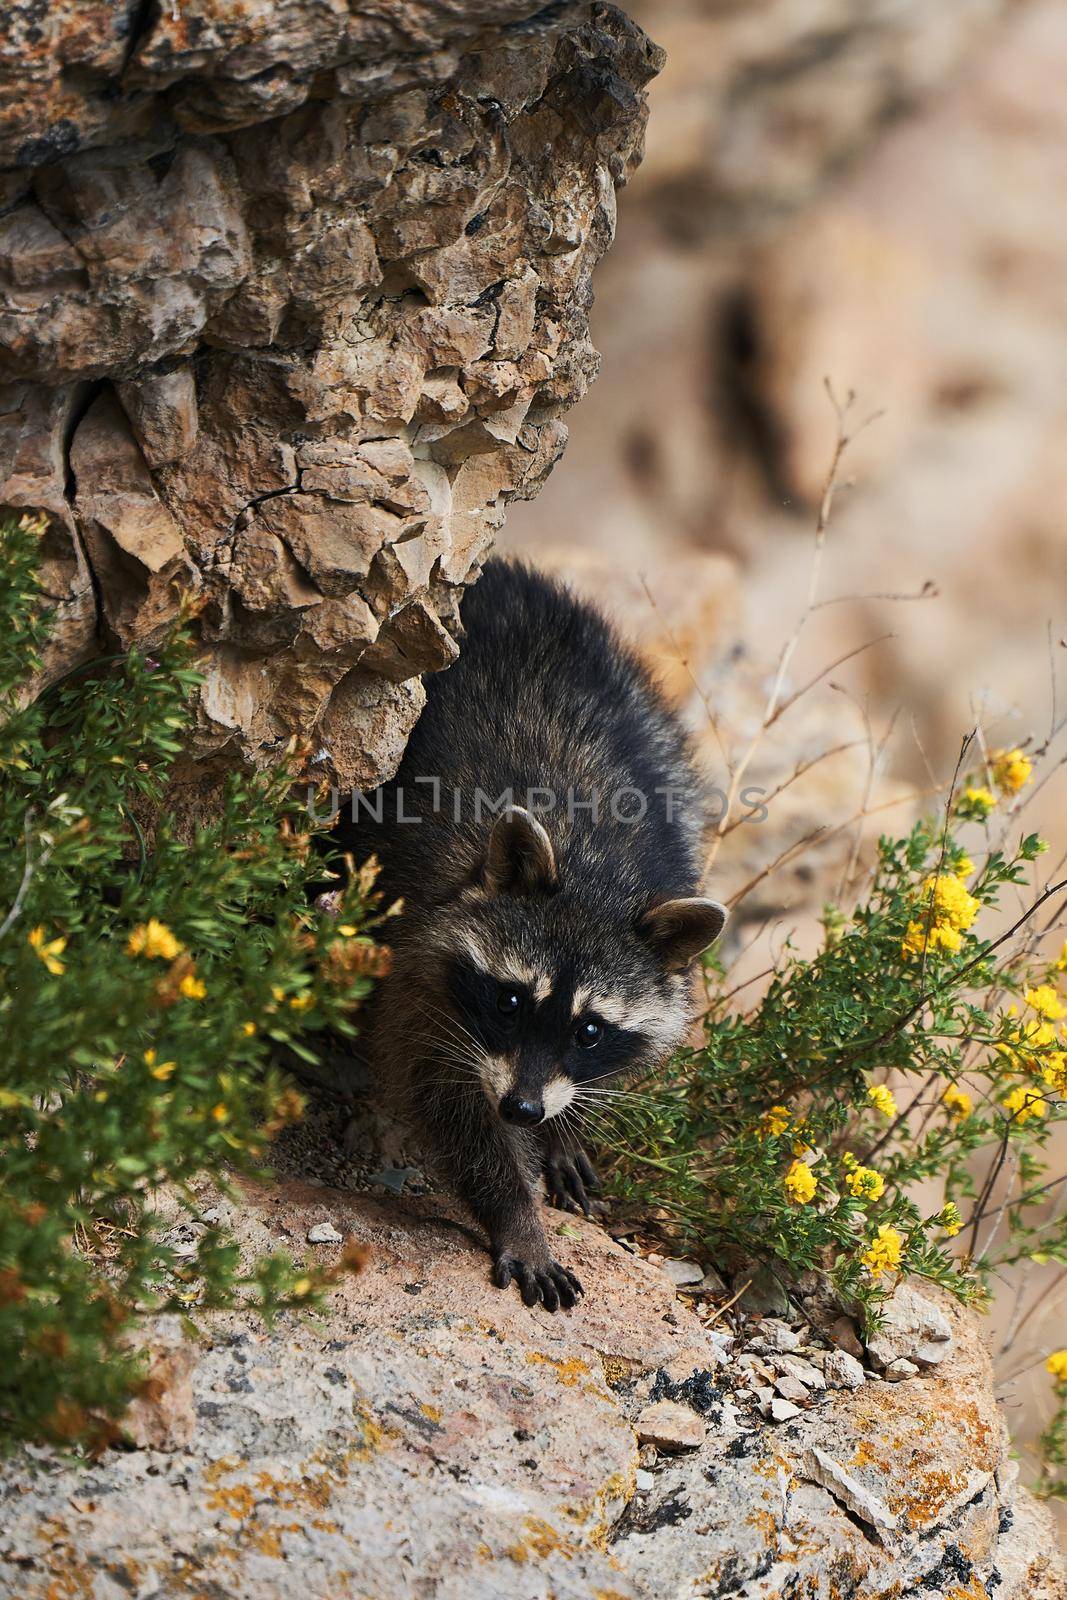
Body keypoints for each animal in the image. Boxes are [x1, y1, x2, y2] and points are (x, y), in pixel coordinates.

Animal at [340, 563, 726, 1312]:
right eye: (511, 1001)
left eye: (590, 1031)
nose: (522, 1109)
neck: (593, 870)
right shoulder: (422, 963)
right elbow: (449, 1102)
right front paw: (516, 1214)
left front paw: (563, 1128)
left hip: (650, 718)